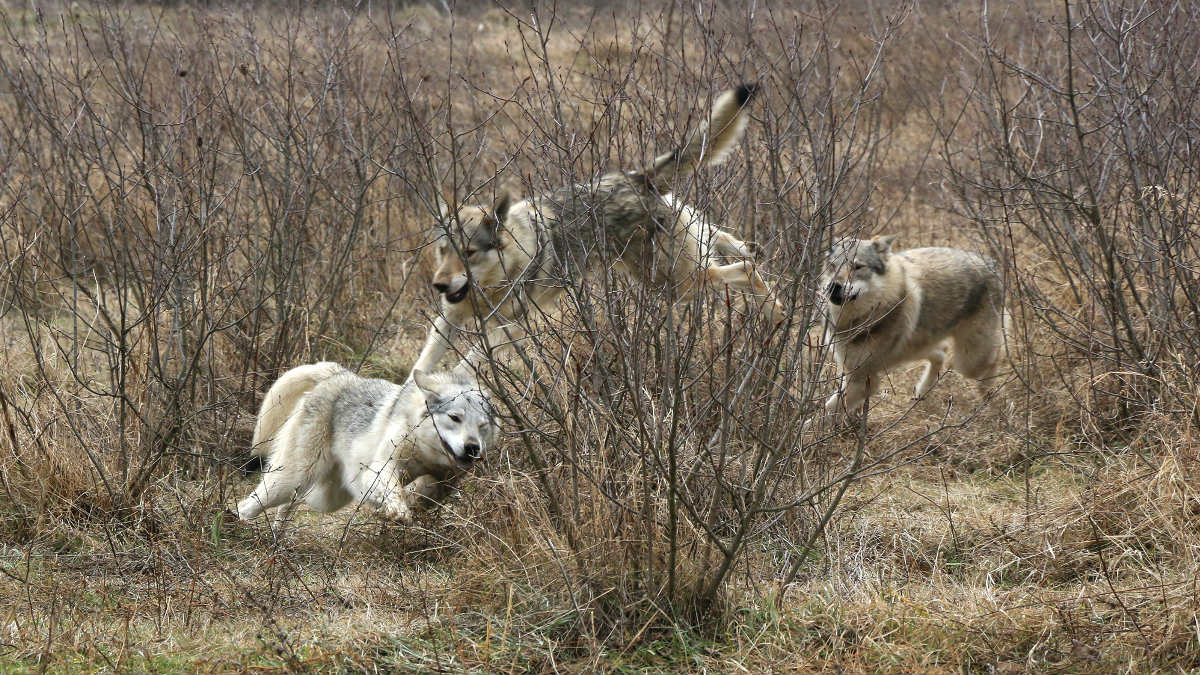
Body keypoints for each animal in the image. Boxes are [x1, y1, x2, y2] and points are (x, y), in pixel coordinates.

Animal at [236, 360, 499, 533]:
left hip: (326, 496)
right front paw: (398, 510)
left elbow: (428, 487)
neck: (424, 452)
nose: (472, 448)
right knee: (248, 504)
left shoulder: (445, 482)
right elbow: (394, 490)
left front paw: (408, 501)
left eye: (482, 425)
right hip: (292, 479)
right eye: (455, 418)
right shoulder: (377, 471)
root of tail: (339, 374)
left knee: (289, 505)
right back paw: (238, 526)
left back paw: (277, 538)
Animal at [412, 84, 782, 372]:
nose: (438, 285)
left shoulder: (515, 327)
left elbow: (465, 365)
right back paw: (756, 261)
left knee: (745, 269)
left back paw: (776, 312)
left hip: (674, 284)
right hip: (674, 271)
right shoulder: (446, 321)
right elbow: (417, 373)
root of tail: (638, 177)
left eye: (469, 253)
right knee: (724, 241)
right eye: (443, 251)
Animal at [820, 235, 1008, 415]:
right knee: (941, 353)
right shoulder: (850, 370)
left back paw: (991, 396)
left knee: (997, 357)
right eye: (832, 265)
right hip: (915, 349)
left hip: (968, 362)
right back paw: (921, 392)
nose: (833, 286)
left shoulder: (863, 379)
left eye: (858, 267)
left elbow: (825, 411)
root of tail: (993, 263)